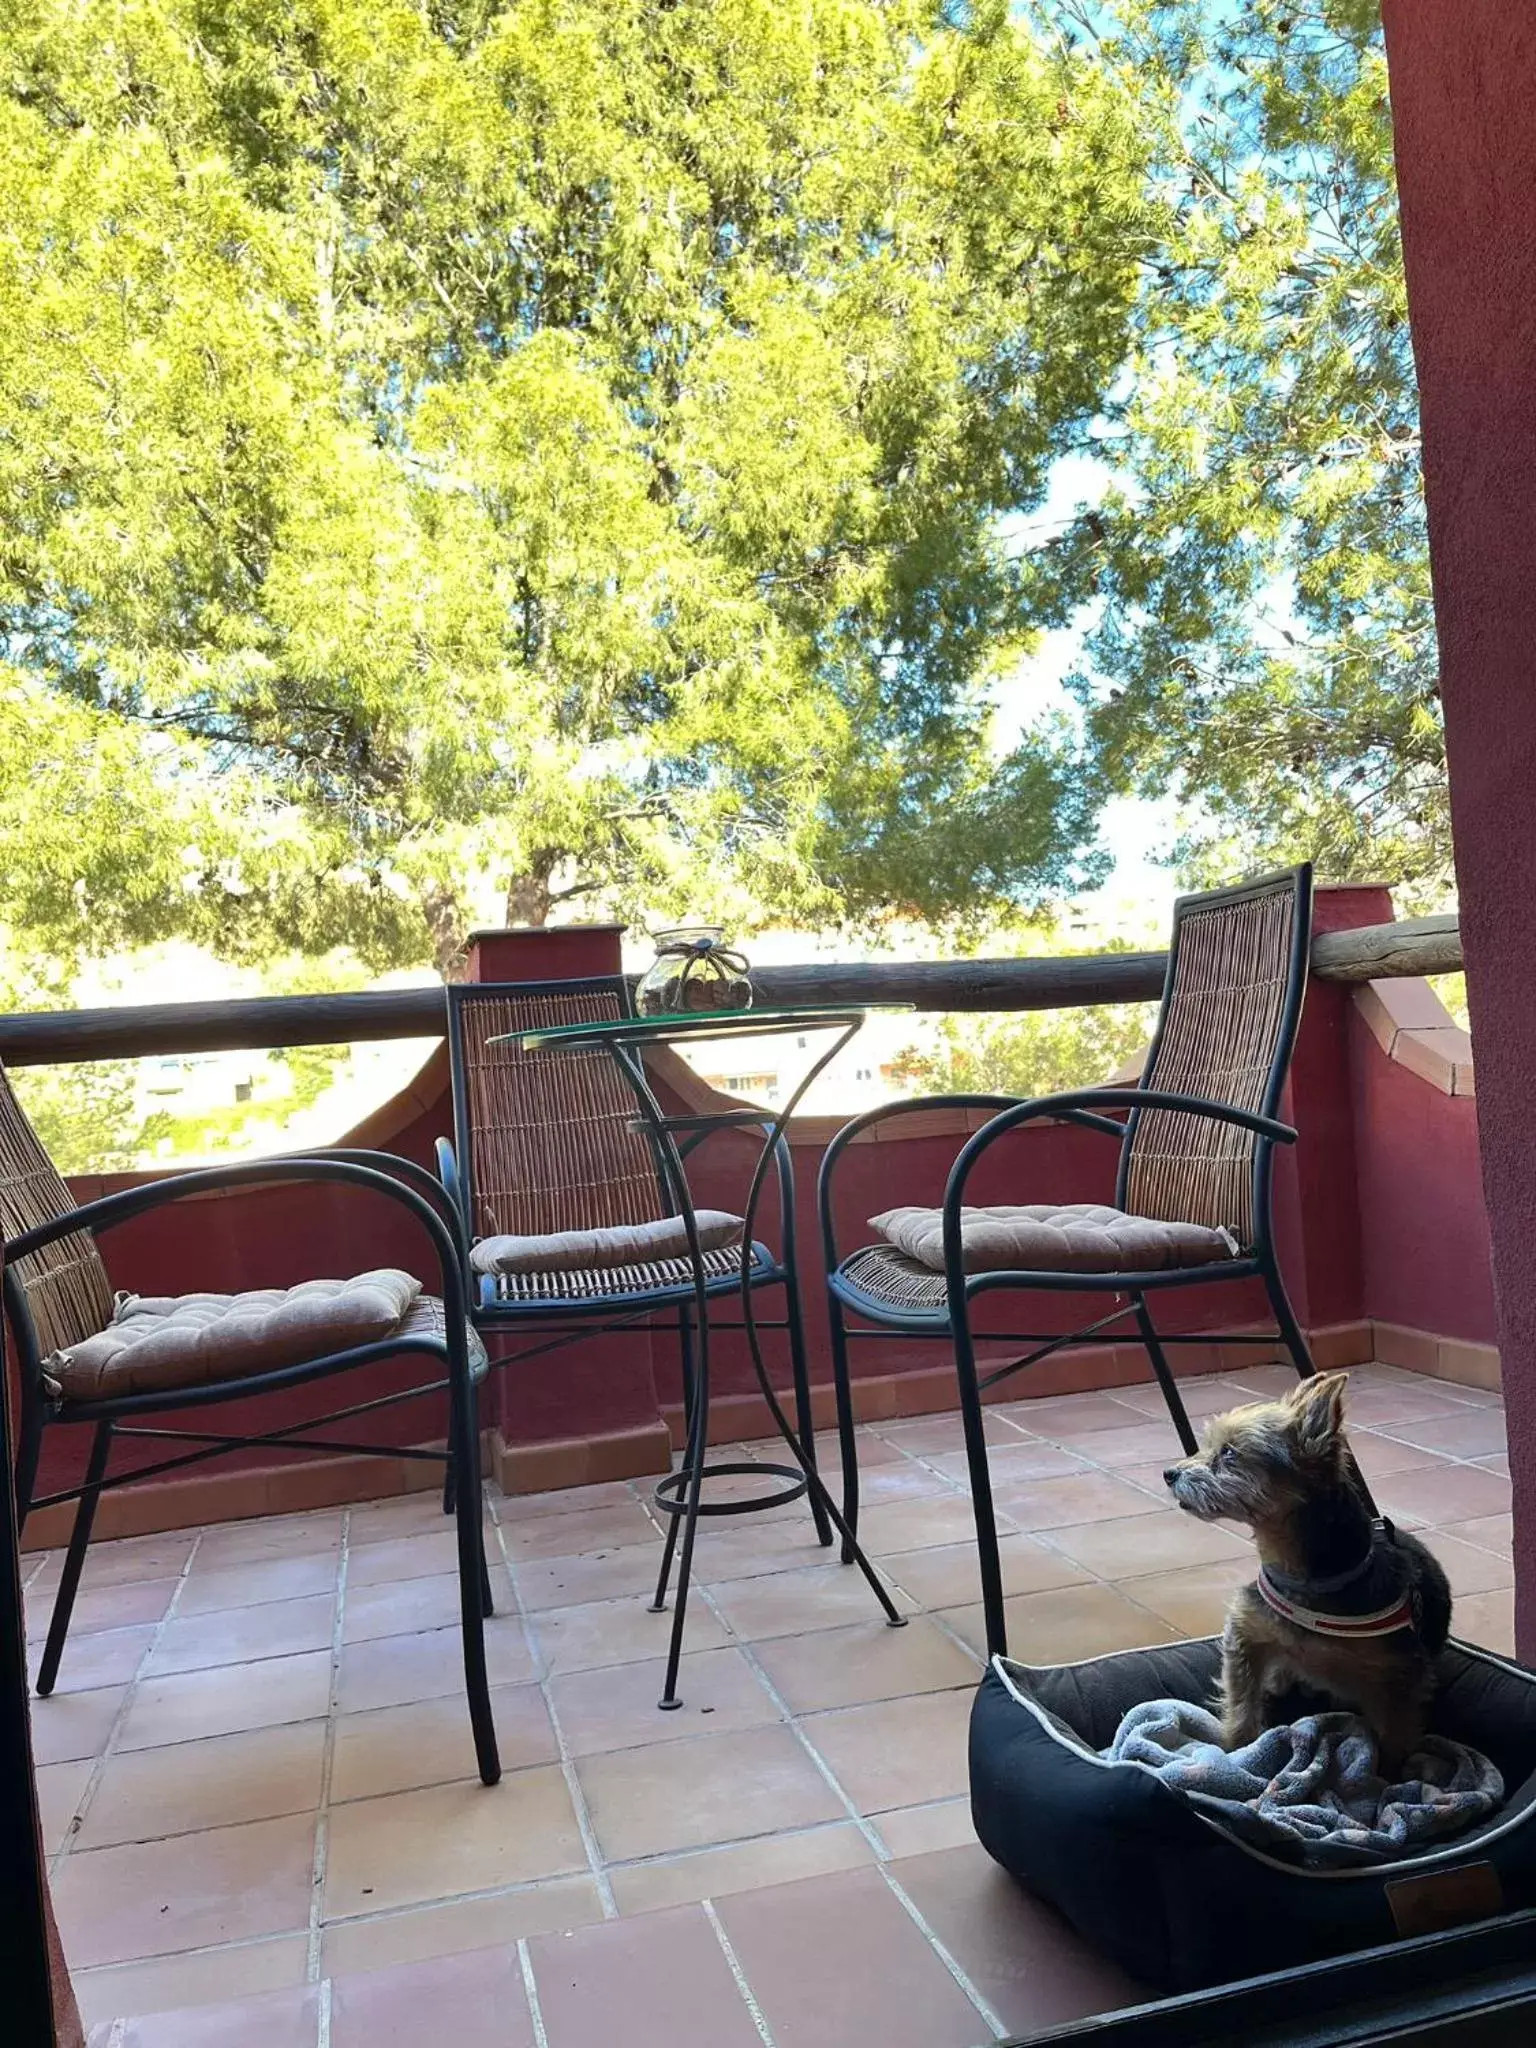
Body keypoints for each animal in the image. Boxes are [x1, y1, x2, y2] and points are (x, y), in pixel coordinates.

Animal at [1171, 1368, 1449, 1769]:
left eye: (1229, 1452)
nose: (1169, 1473)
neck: (1306, 1579)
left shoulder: (1400, 1677)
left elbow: (1394, 1737)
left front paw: (1385, 1776)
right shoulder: (1246, 1636)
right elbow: (1242, 1702)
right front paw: (1236, 1749)